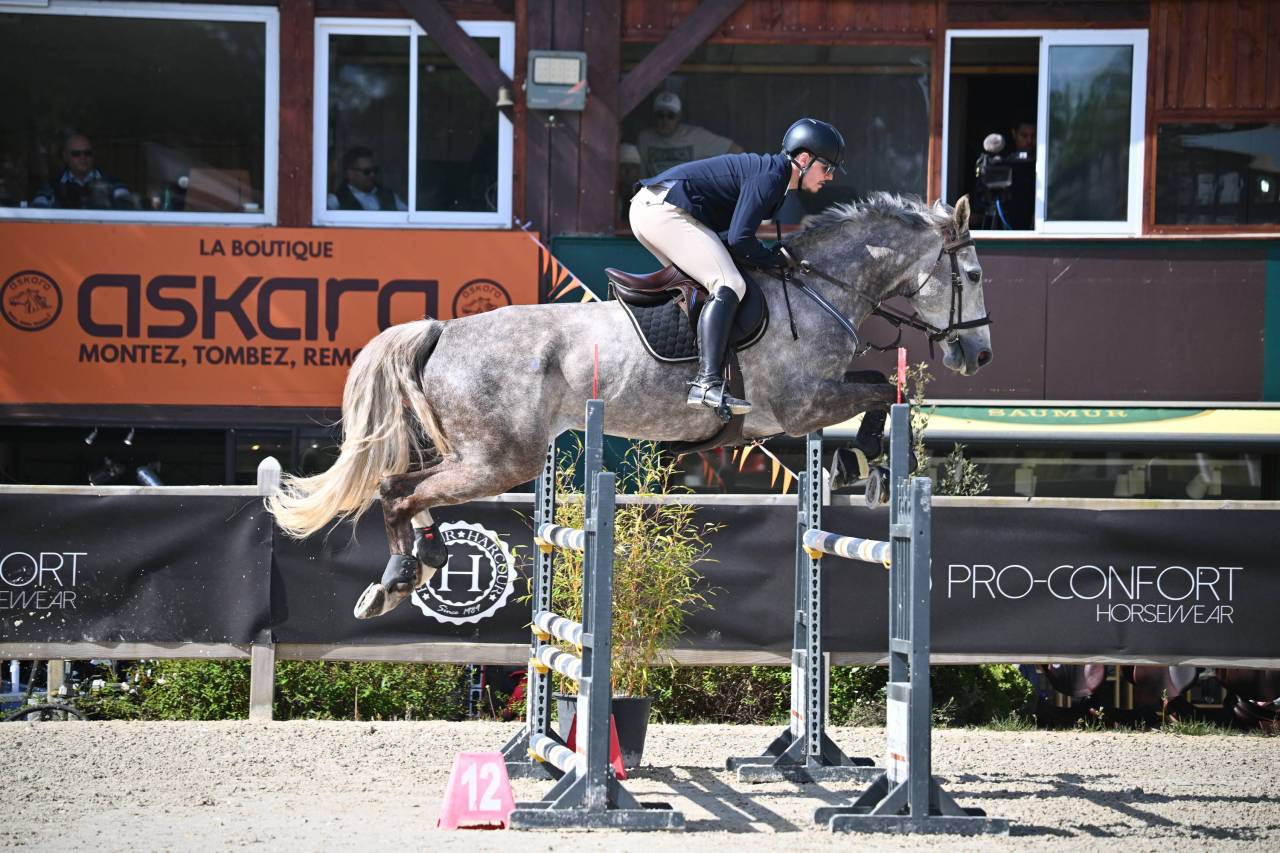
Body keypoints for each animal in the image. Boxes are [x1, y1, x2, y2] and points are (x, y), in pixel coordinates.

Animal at [267, 193, 993, 619]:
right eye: (974, 273)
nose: (978, 355)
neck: (821, 288)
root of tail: (442, 328)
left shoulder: (796, 410)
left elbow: (877, 387)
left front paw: (858, 468)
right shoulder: (804, 404)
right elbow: (880, 391)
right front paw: (869, 465)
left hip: (479, 454)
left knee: (404, 487)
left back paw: (415, 564)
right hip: (501, 459)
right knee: (398, 489)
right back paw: (398, 577)